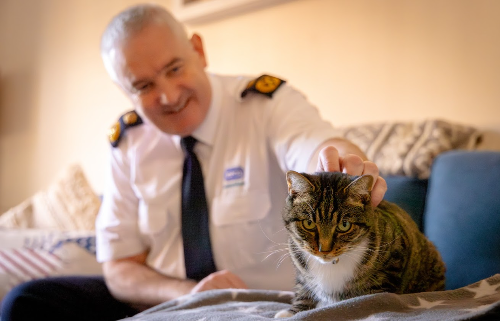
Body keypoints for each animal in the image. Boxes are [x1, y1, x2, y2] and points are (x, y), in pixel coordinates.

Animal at [278, 171, 446, 316]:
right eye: (309, 224)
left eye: (344, 225)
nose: (324, 250)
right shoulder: (300, 269)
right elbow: (303, 290)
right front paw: (293, 311)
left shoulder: (394, 260)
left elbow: (373, 295)